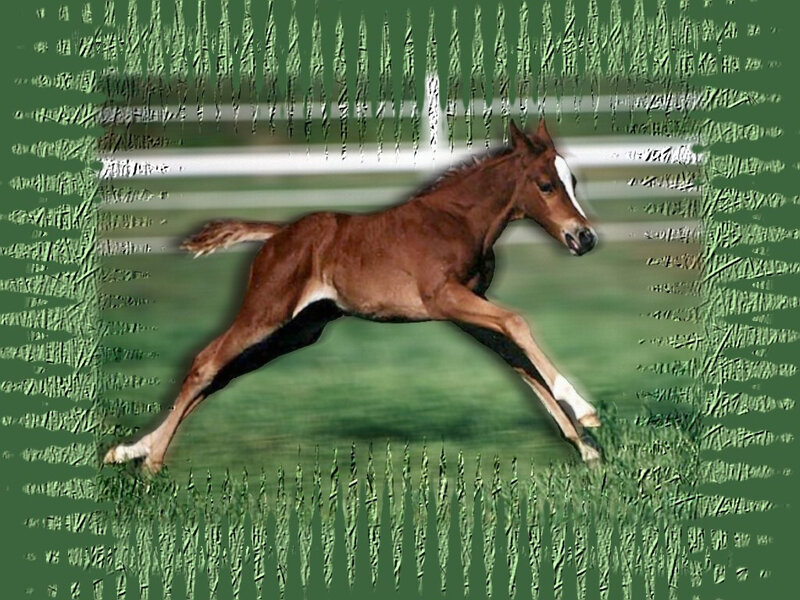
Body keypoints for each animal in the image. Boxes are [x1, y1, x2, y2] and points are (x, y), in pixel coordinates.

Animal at [103, 119, 602, 473]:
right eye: (545, 185)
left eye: (573, 181)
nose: (584, 238)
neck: (459, 221)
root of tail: (278, 233)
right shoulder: (443, 298)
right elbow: (517, 323)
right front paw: (586, 412)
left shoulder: (465, 312)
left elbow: (519, 362)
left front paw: (586, 448)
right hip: (266, 310)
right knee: (207, 361)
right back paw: (150, 462)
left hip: (297, 331)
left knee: (223, 373)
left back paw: (130, 451)